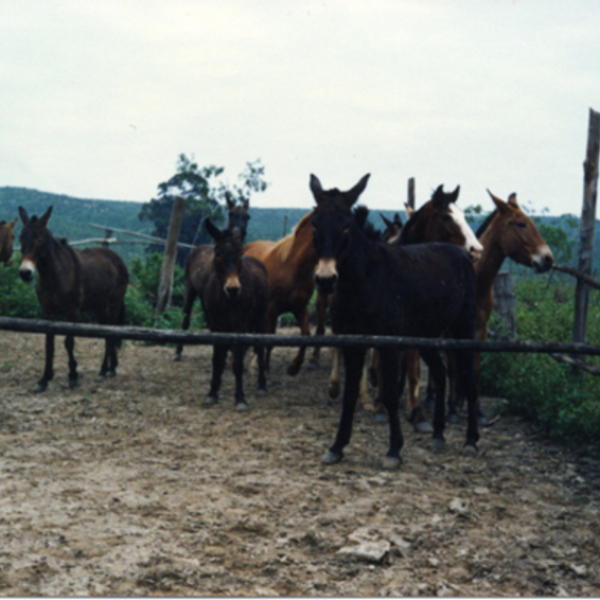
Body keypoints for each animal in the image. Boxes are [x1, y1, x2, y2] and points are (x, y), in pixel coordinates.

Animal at [18, 206, 129, 394]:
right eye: (20, 238)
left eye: (39, 240)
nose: (25, 273)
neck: (55, 275)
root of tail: (116, 257)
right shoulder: (47, 313)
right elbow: (49, 344)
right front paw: (44, 379)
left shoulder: (72, 312)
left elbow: (68, 342)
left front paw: (73, 376)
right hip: (99, 308)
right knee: (108, 333)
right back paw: (110, 368)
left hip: (113, 304)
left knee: (112, 332)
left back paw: (104, 370)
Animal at [173, 196, 251, 360]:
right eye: (231, 214)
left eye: (247, 216)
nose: (239, 232)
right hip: (190, 289)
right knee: (186, 317)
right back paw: (178, 351)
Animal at [202, 220, 268, 412]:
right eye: (218, 253)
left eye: (240, 253)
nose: (233, 289)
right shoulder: (215, 326)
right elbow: (217, 359)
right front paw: (212, 392)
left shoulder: (239, 326)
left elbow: (238, 362)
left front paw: (240, 398)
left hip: (260, 320)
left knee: (259, 349)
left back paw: (262, 385)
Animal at [243, 209, 322, 372]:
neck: (292, 267)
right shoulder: (271, 310)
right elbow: (269, 338)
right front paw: (264, 369)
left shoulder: (300, 307)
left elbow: (305, 334)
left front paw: (294, 366)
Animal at [310, 176, 478, 472]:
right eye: (314, 223)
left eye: (346, 225)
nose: (326, 279)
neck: (364, 280)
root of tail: (460, 255)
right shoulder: (353, 343)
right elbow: (350, 394)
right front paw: (337, 447)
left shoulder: (388, 345)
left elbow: (389, 392)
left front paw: (394, 450)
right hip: (426, 336)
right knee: (440, 372)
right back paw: (437, 434)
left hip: (463, 329)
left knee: (468, 375)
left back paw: (470, 440)